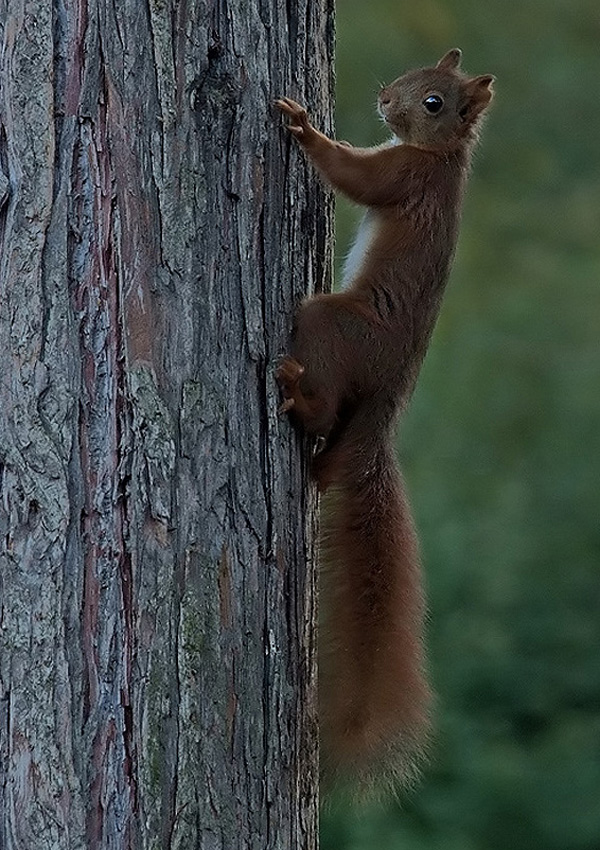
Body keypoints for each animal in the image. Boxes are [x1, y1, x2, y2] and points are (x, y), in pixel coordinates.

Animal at [274, 49, 494, 796]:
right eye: (411, 74)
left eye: (433, 102)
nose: (382, 100)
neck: (445, 159)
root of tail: (387, 403)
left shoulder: (402, 177)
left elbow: (355, 175)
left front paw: (304, 127)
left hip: (332, 325)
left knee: (319, 388)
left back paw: (294, 393)